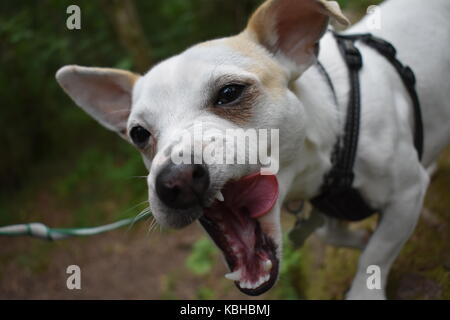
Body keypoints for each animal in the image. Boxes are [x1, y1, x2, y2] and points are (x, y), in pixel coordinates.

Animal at [55, 0, 450, 300]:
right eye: (138, 134)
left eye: (229, 92)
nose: (177, 180)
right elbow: (336, 234)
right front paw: (356, 237)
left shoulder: (405, 197)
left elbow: (376, 255)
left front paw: (364, 288)